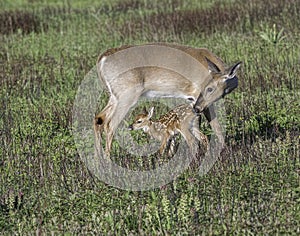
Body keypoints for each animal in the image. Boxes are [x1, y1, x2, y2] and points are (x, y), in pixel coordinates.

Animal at [94, 42, 241, 157]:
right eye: (208, 88)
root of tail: (102, 59)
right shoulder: (195, 98)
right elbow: (214, 126)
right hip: (127, 95)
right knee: (110, 124)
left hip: (114, 96)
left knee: (99, 119)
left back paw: (98, 161)